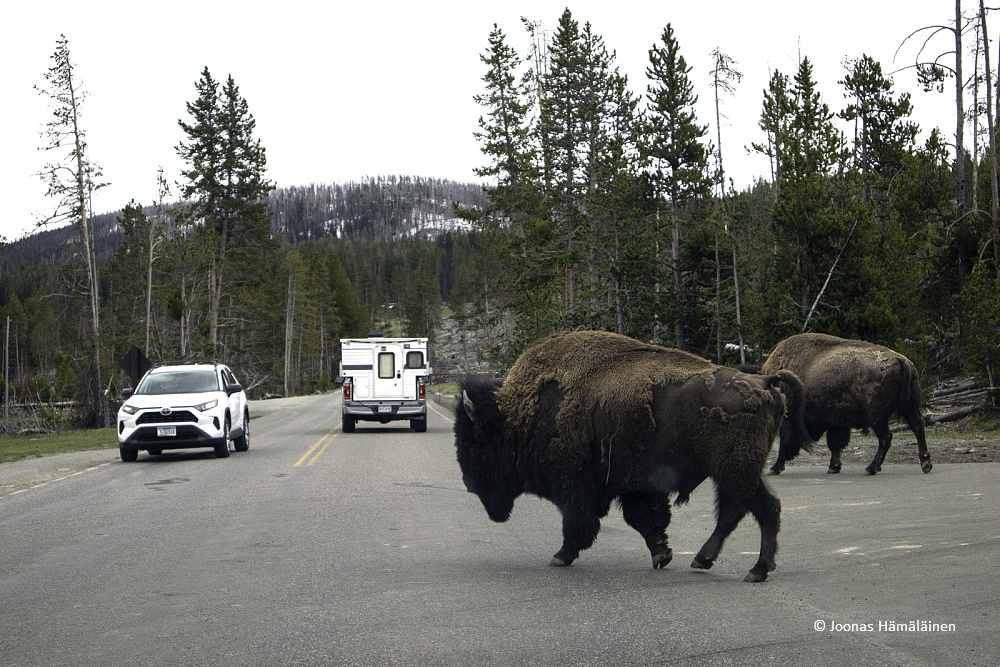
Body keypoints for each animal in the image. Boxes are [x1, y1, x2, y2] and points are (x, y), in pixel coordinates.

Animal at [454, 332, 812, 580]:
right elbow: (643, 520)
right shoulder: (635, 488)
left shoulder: (576, 486)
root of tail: (764, 380)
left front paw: (561, 556)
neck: (523, 413)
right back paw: (702, 559)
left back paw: (756, 570)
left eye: (475, 444)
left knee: (764, 509)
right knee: (734, 512)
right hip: (730, 473)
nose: (469, 484)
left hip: (736, 470)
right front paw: (662, 555)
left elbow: (579, 522)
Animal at [760, 332, 932, 474]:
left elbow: (785, 441)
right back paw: (926, 464)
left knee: (886, 437)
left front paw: (774, 468)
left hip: (877, 416)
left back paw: (871, 468)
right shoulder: (836, 422)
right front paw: (834, 467)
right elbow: (834, 443)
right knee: (918, 427)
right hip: (909, 407)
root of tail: (902, 359)